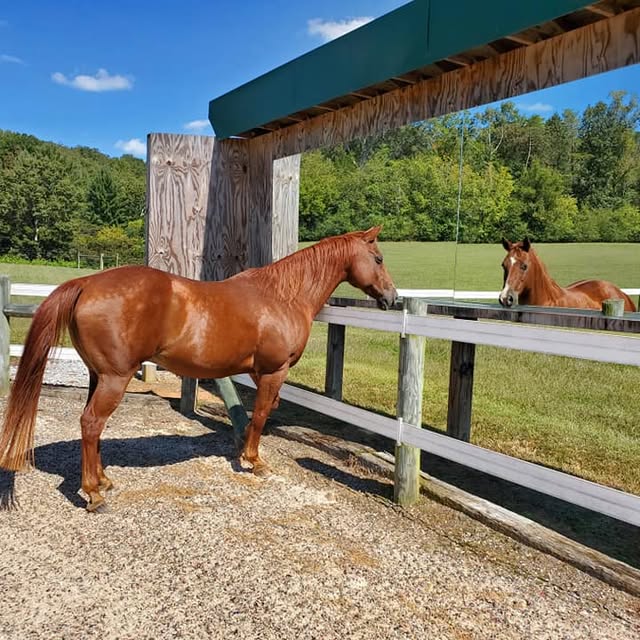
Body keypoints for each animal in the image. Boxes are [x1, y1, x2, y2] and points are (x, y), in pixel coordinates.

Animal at [0, 226, 397, 511]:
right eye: (378, 258)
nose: (393, 298)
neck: (282, 296)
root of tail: (86, 282)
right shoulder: (274, 371)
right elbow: (261, 415)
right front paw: (254, 461)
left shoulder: (257, 372)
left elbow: (252, 415)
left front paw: (243, 453)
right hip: (114, 378)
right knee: (92, 423)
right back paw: (93, 494)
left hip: (98, 376)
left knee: (91, 427)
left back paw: (103, 480)